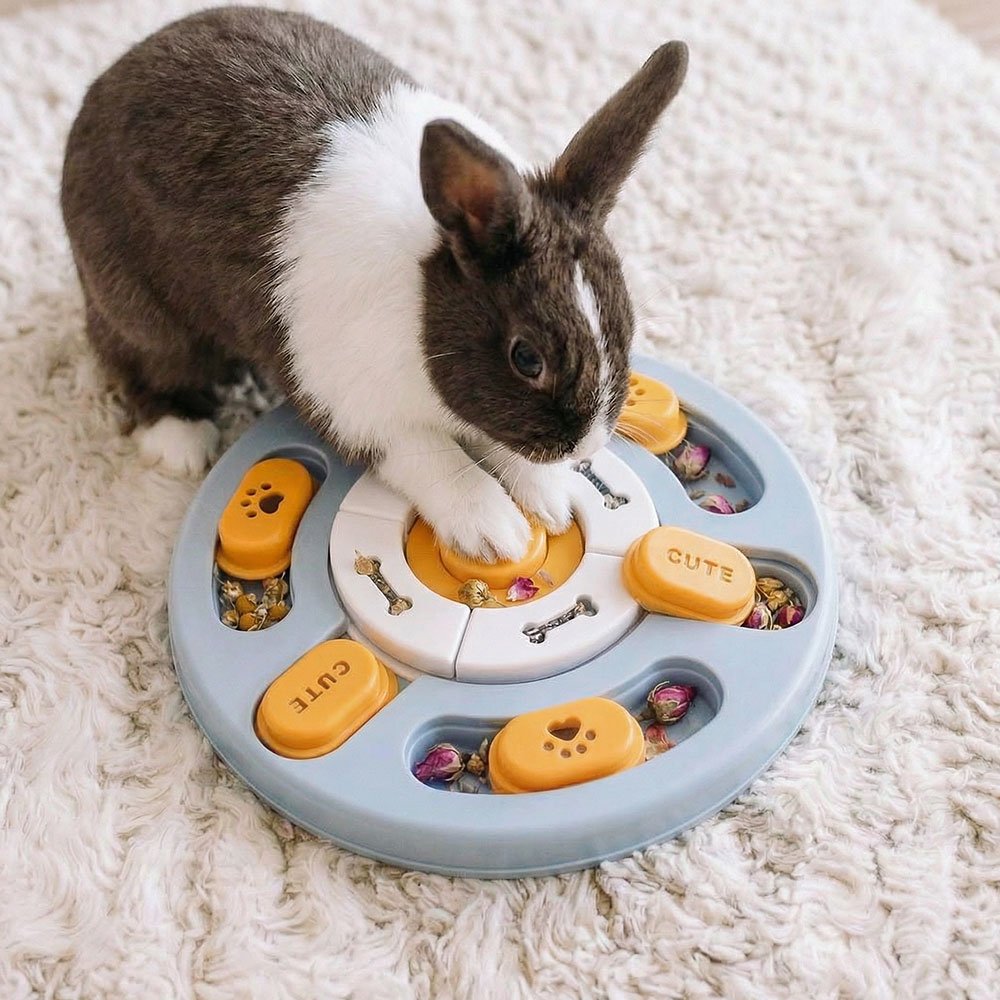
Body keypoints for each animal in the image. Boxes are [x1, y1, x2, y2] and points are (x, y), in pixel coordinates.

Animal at [61, 6, 688, 561]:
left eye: (626, 324)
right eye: (526, 358)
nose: (585, 445)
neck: (423, 298)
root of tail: (108, 83)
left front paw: (551, 501)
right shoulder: (362, 407)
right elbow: (437, 459)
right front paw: (496, 531)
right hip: (139, 309)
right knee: (136, 361)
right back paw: (181, 440)